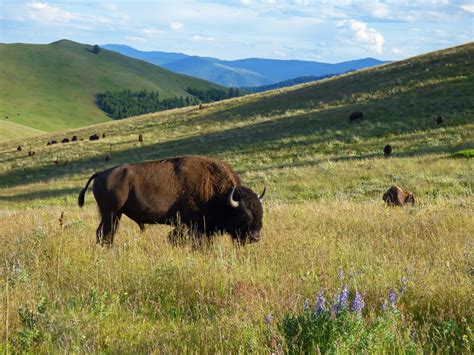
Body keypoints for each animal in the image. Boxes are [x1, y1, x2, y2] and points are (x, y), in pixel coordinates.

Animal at [79, 156, 268, 248]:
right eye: (244, 214)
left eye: (261, 213)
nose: (255, 237)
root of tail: (101, 174)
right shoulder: (192, 226)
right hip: (112, 214)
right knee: (106, 234)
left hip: (109, 215)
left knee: (102, 234)